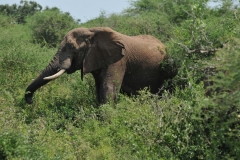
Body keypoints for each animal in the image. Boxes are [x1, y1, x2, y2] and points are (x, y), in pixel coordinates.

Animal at [25, 26, 176, 104]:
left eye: (72, 47)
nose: (30, 101)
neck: (92, 31)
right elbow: (99, 91)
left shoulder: (119, 60)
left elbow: (108, 89)